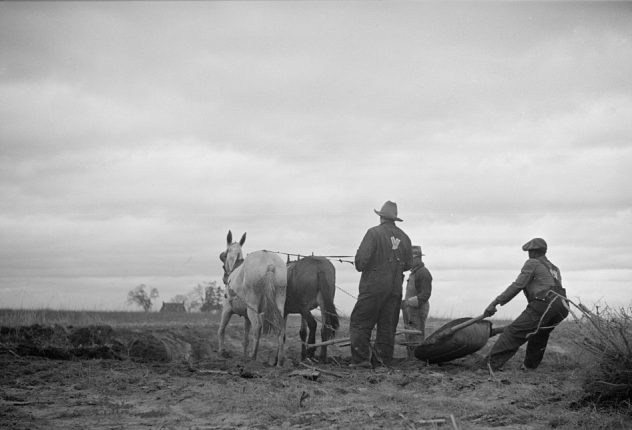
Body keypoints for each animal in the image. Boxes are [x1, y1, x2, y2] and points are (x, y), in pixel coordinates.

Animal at [217, 232, 286, 366]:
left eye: (224, 255)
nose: (224, 278)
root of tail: (270, 264)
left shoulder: (227, 309)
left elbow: (221, 329)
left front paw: (221, 352)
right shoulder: (246, 316)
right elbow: (246, 336)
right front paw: (243, 354)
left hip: (252, 306)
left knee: (257, 327)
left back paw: (253, 357)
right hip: (279, 302)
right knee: (280, 327)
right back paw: (279, 361)